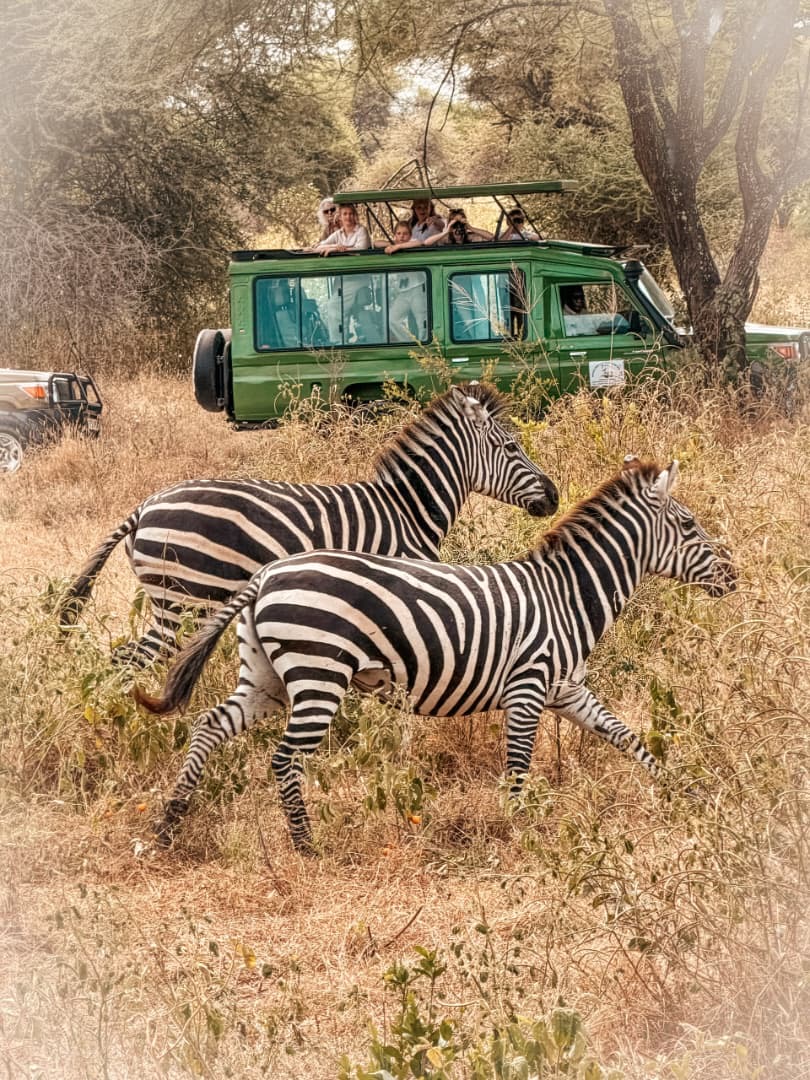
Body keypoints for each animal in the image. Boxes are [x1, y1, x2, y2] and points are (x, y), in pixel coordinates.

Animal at [59, 383, 559, 665]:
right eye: (512, 447)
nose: (554, 496)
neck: (407, 508)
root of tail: (144, 507)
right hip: (184, 598)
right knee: (135, 659)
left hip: (172, 601)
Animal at [135, 456, 736, 852]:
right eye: (689, 525)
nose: (733, 576)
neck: (566, 595)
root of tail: (265, 577)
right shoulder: (528, 688)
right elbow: (517, 769)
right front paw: (519, 832)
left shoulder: (567, 689)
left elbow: (627, 737)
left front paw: (683, 791)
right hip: (317, 674)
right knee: (284, 759)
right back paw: (306, 845)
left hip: (266, 677)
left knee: (209, 726)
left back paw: (168, 825)